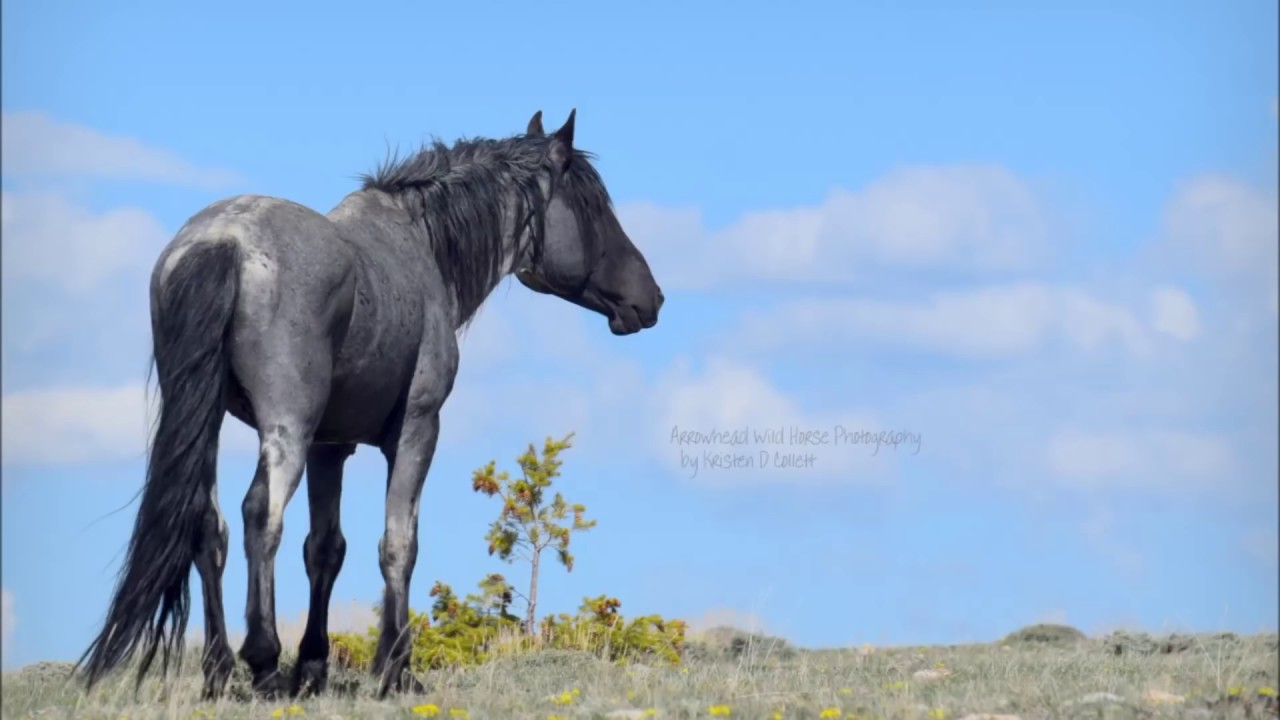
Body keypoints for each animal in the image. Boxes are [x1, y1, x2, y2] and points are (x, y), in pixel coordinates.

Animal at [76, 109, 664, 700]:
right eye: (593, 207)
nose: (652, 298)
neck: (421, 247)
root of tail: (223, 240)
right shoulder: (415, 430)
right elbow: (398, 545)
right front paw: (394, 668)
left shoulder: (329, 447)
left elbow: (325, 549)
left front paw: (313, 667)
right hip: (285, 427)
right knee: (260, 515)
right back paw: (263, 661)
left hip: (210, 420)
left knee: (206, 524)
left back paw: (220, 670)